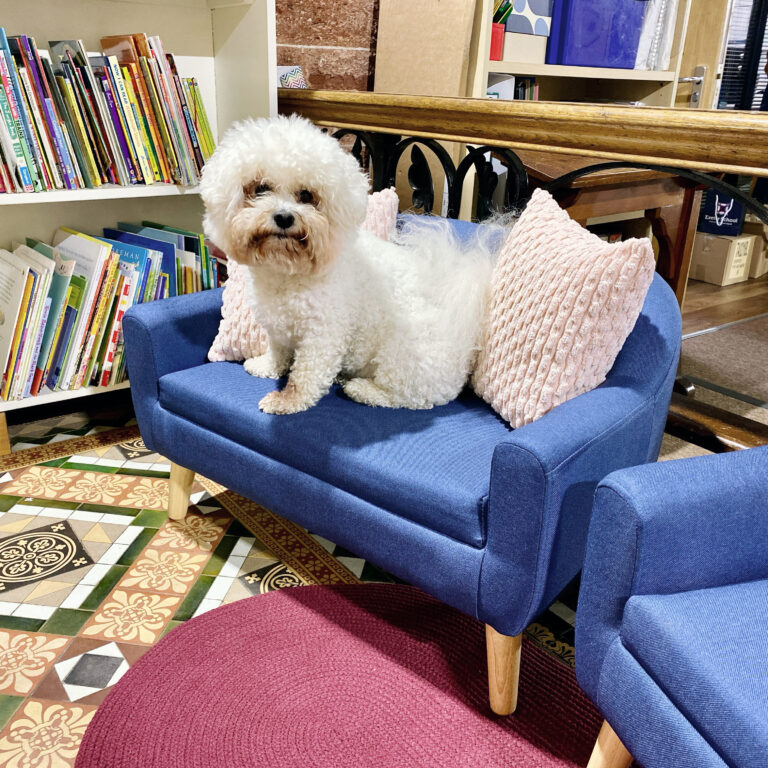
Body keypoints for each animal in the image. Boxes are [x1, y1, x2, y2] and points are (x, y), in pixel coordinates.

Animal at [200, 115, 492, 414]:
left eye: (307, 195)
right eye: (260, 188)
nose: (284, 217)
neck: (288, 272)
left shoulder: (322, 334)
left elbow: (304, 376)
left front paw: (287, 400)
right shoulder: (277, 328)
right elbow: (278, 353)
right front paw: (266, 366)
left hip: (405, 354)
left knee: (409, 396)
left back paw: (362, 389)